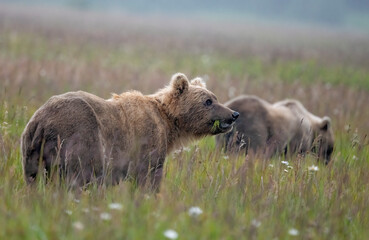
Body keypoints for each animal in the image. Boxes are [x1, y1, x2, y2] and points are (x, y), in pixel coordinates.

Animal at [20, 73, 239, 189]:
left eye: (215, 97)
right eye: (208, 101)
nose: (234, 114)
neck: (170, 124)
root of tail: (41, 120)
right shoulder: (147, 140)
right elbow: (149, 175)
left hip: (32, 149)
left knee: (33, 178)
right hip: (78, 136)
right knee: (78, 176)